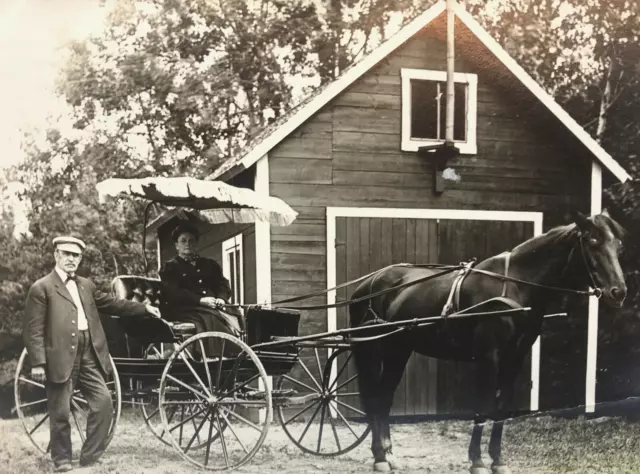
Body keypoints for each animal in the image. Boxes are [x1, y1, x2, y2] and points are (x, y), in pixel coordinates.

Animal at [350, 212, 624, 474]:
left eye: (618, 245)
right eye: (592, 241)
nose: (619, 292)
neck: (514, 286)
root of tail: (367, 284)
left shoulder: (515, 358)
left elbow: (501, 409)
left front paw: (498, 461)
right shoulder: (488, 357)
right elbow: (482, 407)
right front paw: (477, 461)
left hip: (400, 348)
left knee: (384, 396)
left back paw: (387, 454)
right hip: (376, 348)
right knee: (375, 397)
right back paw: (380, 457)